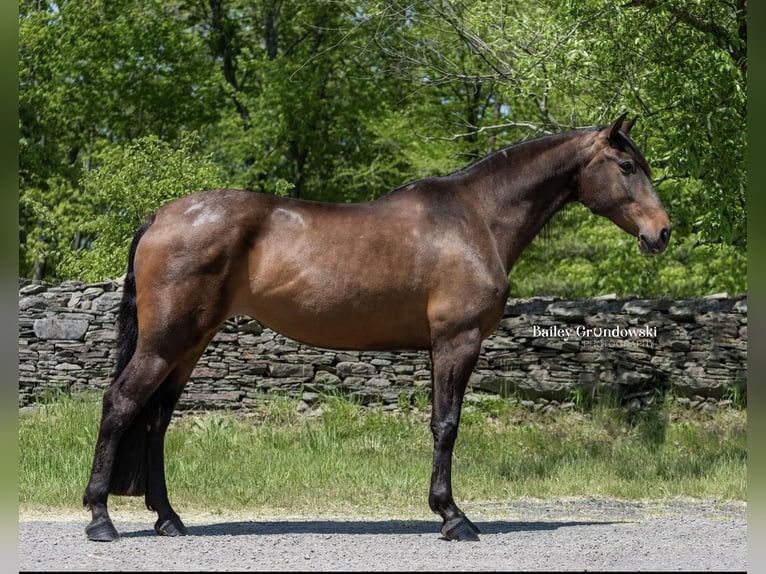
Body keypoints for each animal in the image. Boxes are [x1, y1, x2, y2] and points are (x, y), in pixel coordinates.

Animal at [85, 113, 672, 544]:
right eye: (626, 165)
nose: (662, 233)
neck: (476, 218)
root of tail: (160, 217)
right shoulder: (457, 342)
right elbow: (447, 425)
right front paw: (453, 518)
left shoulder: (441, 347)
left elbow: (440, 423)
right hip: (168, 342)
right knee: (121, 403)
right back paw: (100, 519)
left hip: (189, 344)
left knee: (156, 419)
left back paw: (169, 519)